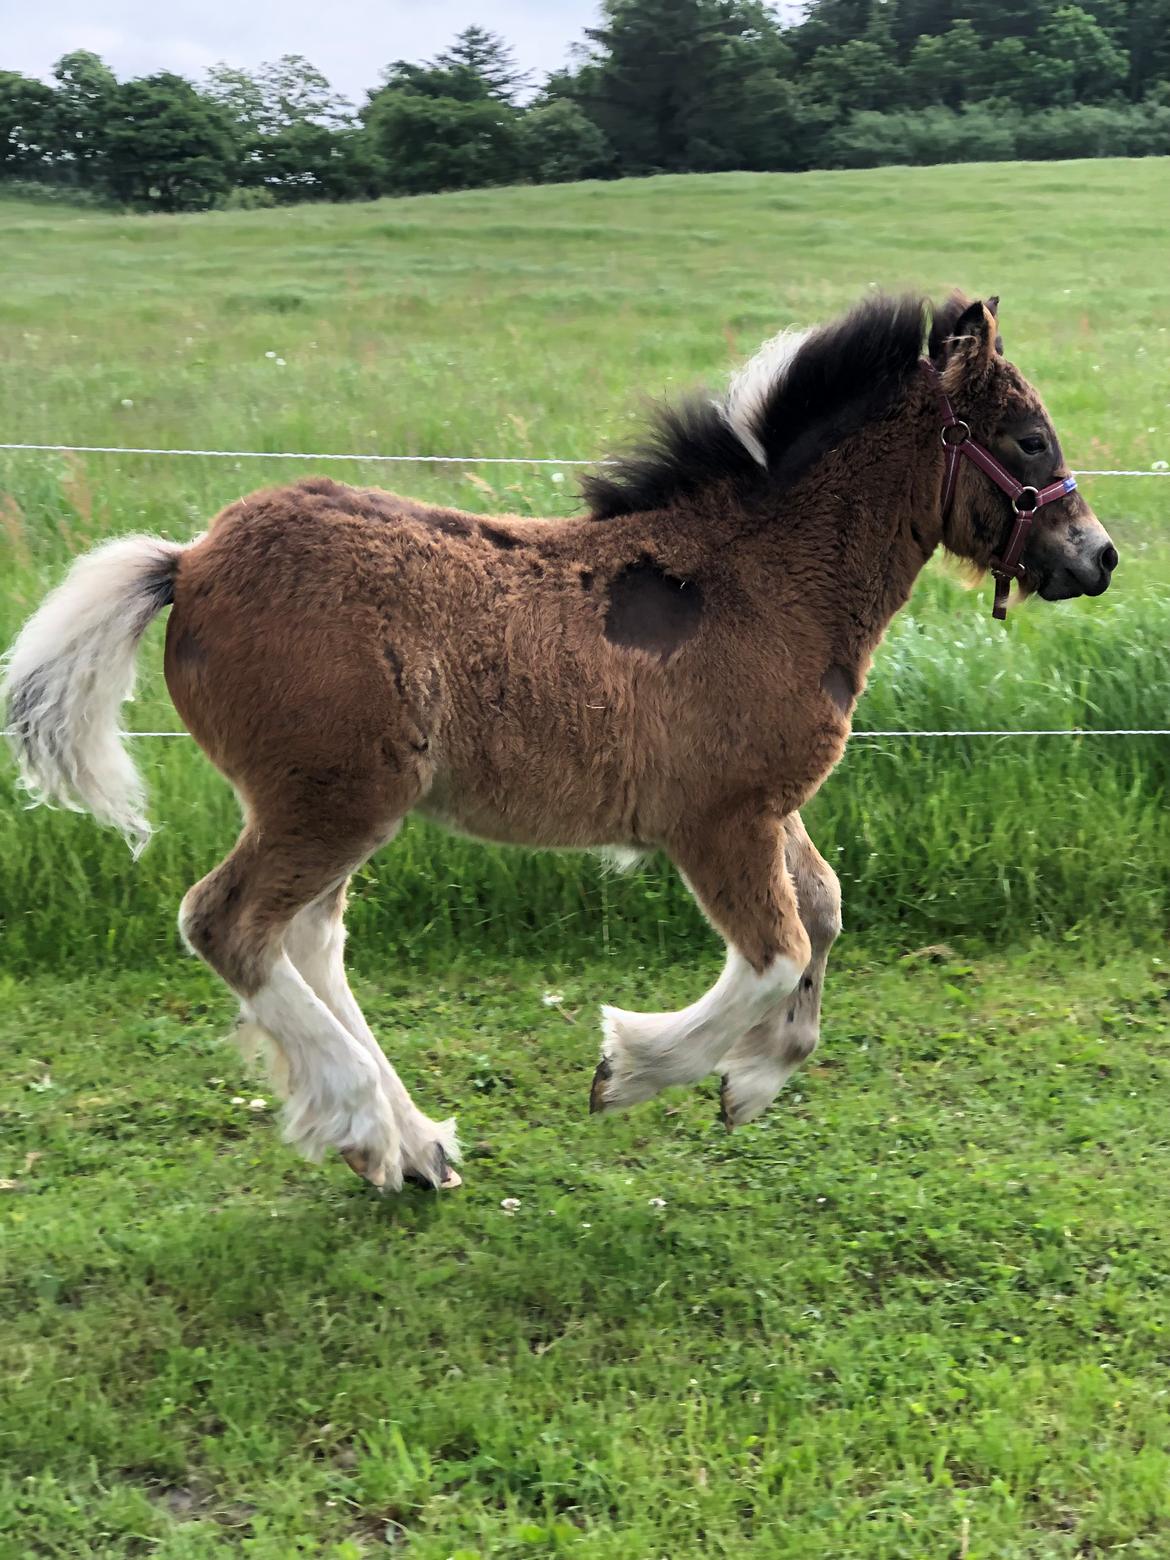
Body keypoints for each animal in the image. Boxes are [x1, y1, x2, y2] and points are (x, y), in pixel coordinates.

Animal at [2, 294, 1116, 1191]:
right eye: (1028, 439)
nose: (1098, 556)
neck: (764, 584)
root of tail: (188, 560)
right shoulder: (716, 820)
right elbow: (777, 950)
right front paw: (634, 1067)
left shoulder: (766, 806)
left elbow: (828, 912)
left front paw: (752, 1081)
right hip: (332, 798)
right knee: (227, 922)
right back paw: (363, 1121)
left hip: (328, 803)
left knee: (306, 938)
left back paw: (409, 1146)